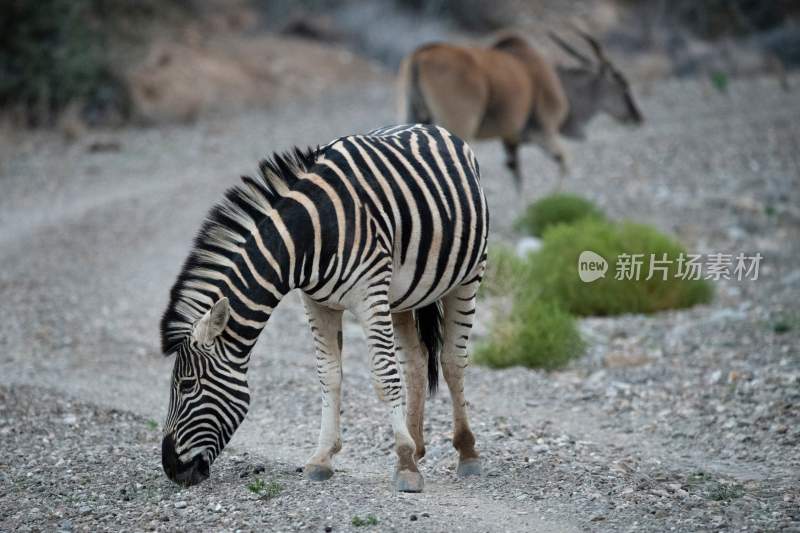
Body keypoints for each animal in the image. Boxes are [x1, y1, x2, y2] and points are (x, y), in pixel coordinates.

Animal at [159, 123, 488, 490]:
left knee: (452, 361)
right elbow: (328, 375)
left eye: (187, 385)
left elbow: (384, 376)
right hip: (403, 296)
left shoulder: (370, 294)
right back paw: (417, 445)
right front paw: (322, 458)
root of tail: (430, 126)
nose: (171, 469)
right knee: (415, 362)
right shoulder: (317, 303)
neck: (310, 235)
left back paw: (466, 452)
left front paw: (403, 464)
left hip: (468, 277)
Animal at [400, 31, 644, 188]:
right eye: (622, 84)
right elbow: (564, 162)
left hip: (411, 118)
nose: (637, 116)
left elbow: (517, 175)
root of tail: (422, 54)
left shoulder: (511, 139)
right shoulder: (544, 132)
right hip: (458, 126)